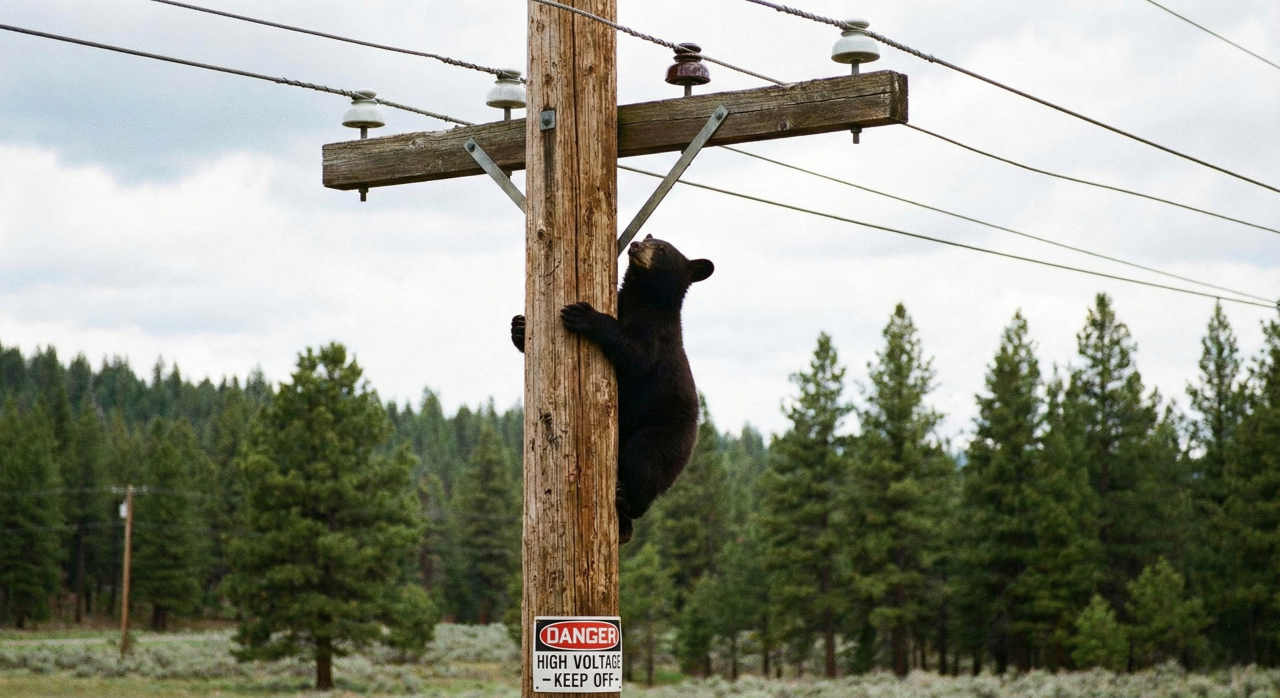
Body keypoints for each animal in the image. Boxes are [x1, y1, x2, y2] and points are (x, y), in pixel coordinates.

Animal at [510, 234, 713, 543]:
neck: (642, 300)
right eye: (651, 237)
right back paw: (624, 527)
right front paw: (519, 327)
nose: (636, 245)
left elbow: (635, 355)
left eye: (662, 249)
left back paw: (627, 503)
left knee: (645, 462)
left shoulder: (655, 336)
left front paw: (583, 314)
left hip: (663, 434)